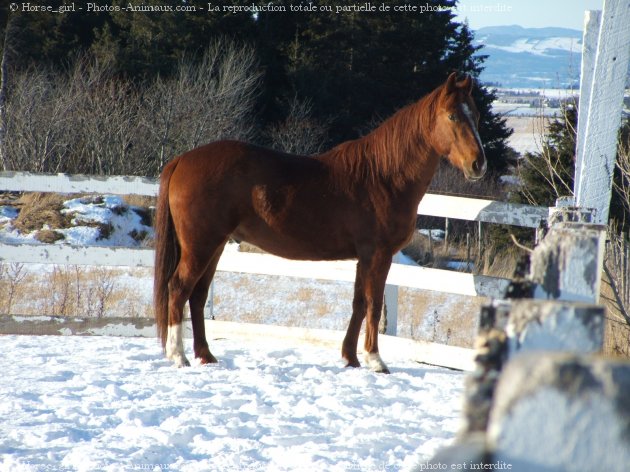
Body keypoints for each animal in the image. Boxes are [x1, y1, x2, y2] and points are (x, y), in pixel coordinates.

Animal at [154, 72, 488, 372]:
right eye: (452, 116)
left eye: (476, 115)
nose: (478, 164)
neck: (382, 176)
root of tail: (182, 160)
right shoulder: (378, 255)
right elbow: (373, 304)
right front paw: (375, 360)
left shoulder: (364, 257)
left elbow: (359, 303)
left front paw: (350, 358)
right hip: (201, 246)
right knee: (179, 288)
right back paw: (178, 356)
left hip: (216, 245)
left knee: (197, 295)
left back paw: (206, 355)